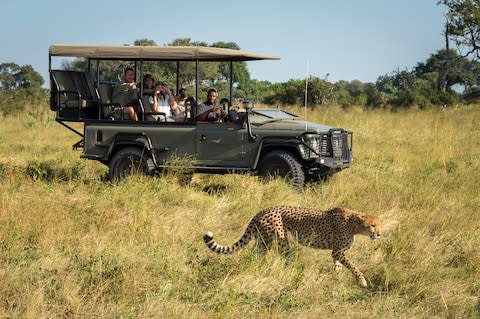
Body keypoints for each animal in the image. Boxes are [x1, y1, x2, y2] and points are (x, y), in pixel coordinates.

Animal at [203, 206, 382, 288]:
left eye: (379, 225)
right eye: (372, 225)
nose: (379, 234)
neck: (354, 224)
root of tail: (263, 210)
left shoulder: (336, 253)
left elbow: (338, 266)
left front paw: (336, 278)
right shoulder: (338, 251)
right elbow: (353, 266)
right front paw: (362, 281)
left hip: (263, 241)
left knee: (255, 255)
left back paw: (256, 269)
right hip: (280, 240)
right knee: (285, 258)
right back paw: (293, 274)